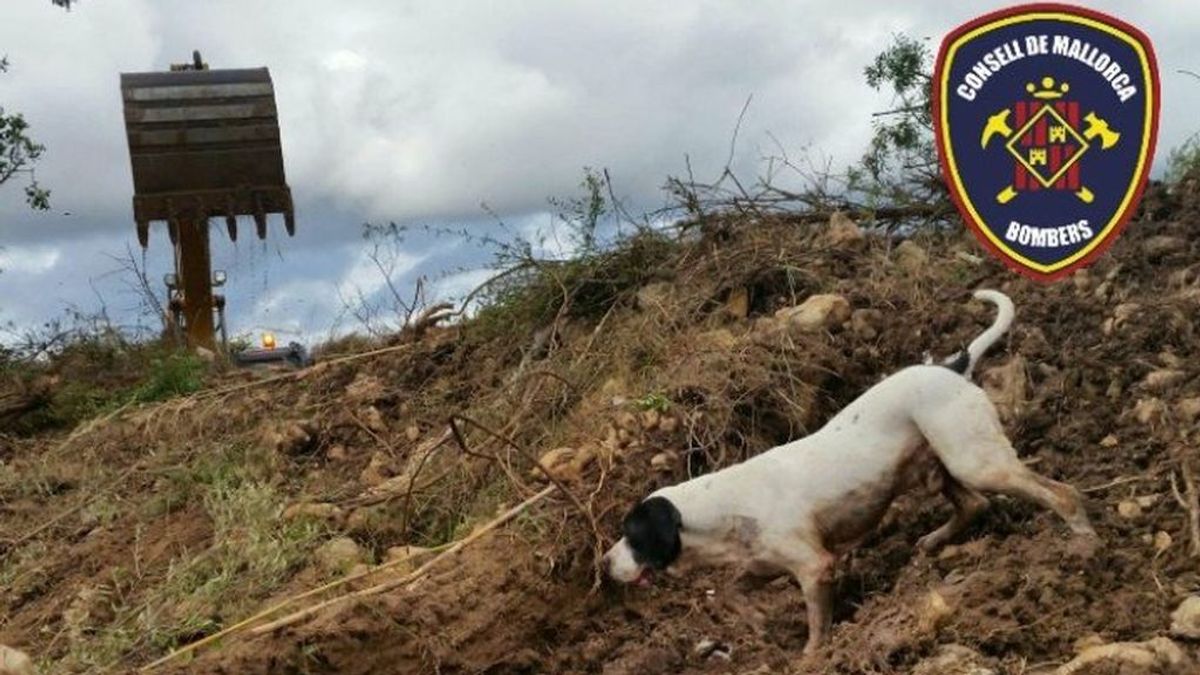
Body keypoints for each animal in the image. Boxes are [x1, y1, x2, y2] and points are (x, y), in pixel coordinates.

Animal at [600, 289, 1099, 653]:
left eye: (632, 535)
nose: (603, 564)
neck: (722, 506)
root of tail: (951, 367)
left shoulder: (814, 568)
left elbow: (817, 624)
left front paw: (813, 657)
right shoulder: (760, 564)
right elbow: (730, 593)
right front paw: (759, 623)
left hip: (973, 459)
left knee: (1058, 493)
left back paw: (1083, 544)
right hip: (937, 463)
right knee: (975, 505)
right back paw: (934, 541)